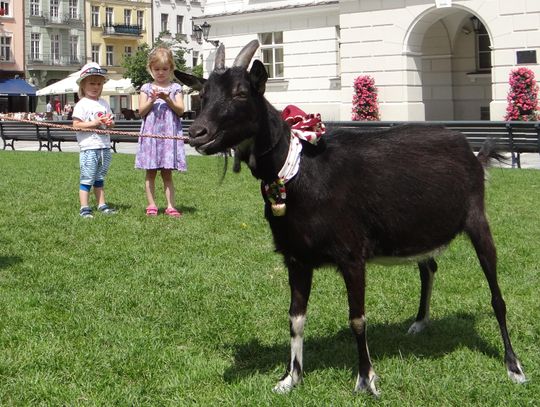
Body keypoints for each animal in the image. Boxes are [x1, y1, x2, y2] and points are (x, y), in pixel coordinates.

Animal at [175, 40, 524, 396]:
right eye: (202, 93)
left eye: (241, 92)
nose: (197, 133)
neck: (299, 170)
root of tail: (472, 151)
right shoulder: (296, 258)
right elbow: (295, 318)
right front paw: (290, 378)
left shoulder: (352, 255)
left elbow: (357, 318)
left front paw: (367, 379)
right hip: (418, 229)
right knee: (428, 267)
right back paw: (419, 322)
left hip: (477, 219)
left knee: (497, 297)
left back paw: (513, 366)